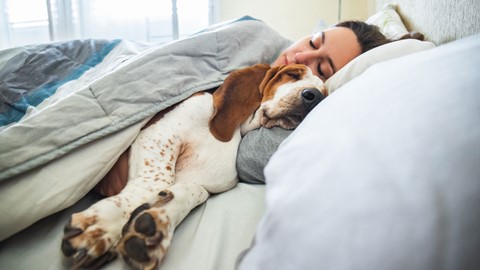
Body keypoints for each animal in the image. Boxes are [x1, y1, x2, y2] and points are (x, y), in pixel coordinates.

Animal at [61, 63, 326, 268]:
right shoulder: (159, 134)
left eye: (324, 90)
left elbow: (189, 193)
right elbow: (157, 181)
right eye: (292, 74)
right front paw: (103, 224)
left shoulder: (203, 184)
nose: (313, 96)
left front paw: (154, 224)